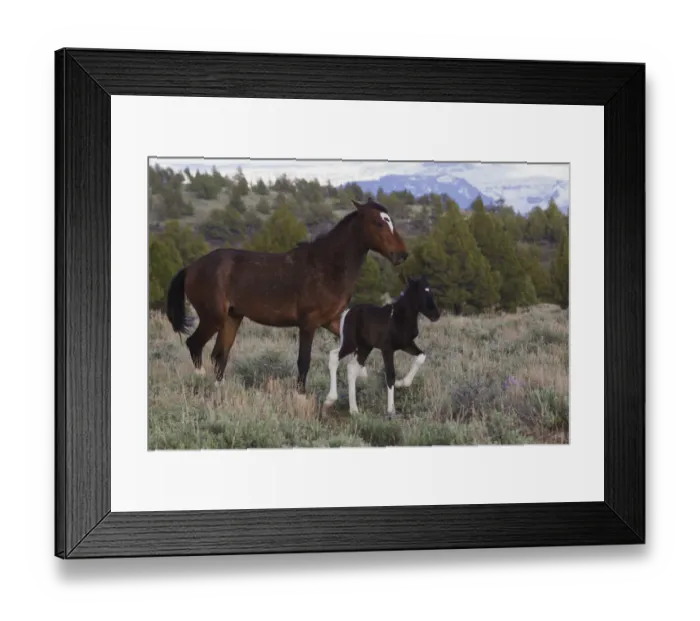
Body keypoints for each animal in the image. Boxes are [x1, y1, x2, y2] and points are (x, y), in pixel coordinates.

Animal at [164, 197, 409, 394]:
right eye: (378, 223)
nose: (402, 255)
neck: (327, 266)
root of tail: (191, 268)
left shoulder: (331, 320)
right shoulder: (308, 323)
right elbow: (304, 361)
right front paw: (301, 395)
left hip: (232, 318)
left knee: (219, 355)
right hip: (212, 317)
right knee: (195, 345)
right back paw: (200, 383)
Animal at [323, 275, 441, 418]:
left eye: (431, 292)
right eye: (421, 292)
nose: (436, 315)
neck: (398, 318)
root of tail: (348, 312)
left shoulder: (407, 344)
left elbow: (421, 356)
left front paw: (402, 383)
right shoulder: (387, 349)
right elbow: (390, 375)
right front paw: (391, 409)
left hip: (364, 347)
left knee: (352, 368)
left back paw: (354, 410)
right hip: (350, 343)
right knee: (334, 356)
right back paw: (330, 399)